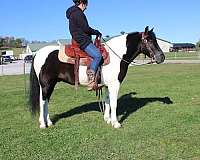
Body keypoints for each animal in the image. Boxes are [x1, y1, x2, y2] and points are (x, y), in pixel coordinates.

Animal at [28, 26, 165, 129]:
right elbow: (114, 103)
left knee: (46, 101)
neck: (116, 56)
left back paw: (49, 122)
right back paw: (43, 124)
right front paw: (116, 123)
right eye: (149, 40)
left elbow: (107, 101)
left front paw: (108, 119)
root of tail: (38, 54)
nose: (161, 57)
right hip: (46, 84)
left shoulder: (107, 85)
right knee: (42, 101)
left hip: (51, 84)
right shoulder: (115, 84)